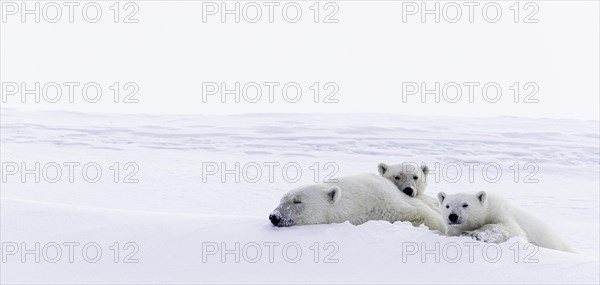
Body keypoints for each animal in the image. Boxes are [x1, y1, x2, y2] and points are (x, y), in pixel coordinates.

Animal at [438, 190, 576, 252]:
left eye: (465, 205)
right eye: (447, 205)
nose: (453, 216)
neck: (487, 208)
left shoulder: (501, 212)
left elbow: (511, 230)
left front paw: (473, 234)